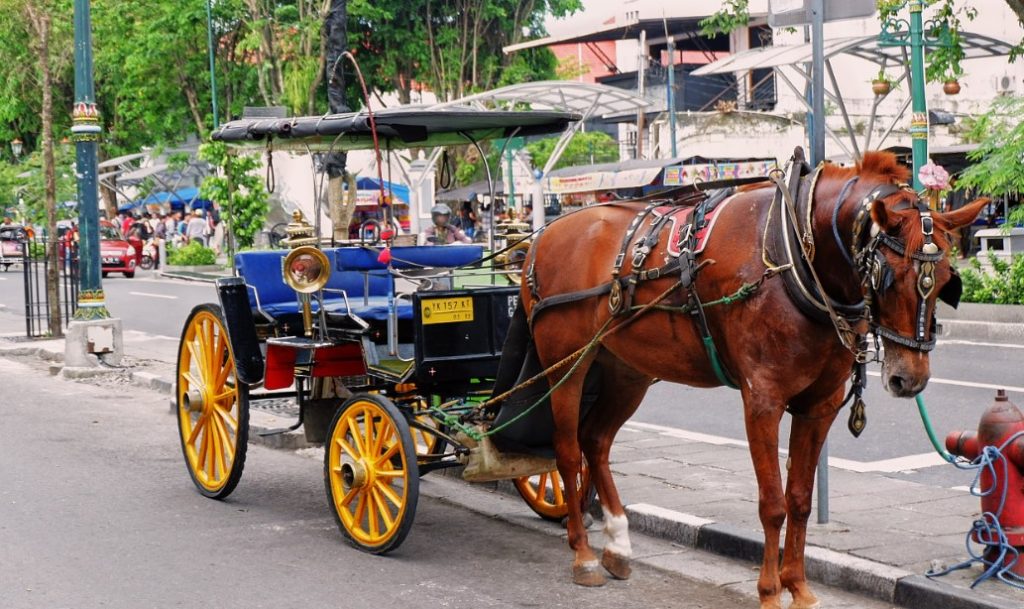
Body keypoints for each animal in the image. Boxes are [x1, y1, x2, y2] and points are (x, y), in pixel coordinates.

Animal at [524, 153, 987, 609]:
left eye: (945, 281)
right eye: (886, 278)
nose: (910, 379)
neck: (797, 253)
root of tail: (542, 237)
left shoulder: (819, 405)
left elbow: (799, 499)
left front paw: (798, 587)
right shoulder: (763, 401)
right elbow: (773, 504)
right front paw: (768, 591)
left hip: (627, 369)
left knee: (596, 441)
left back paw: (618, 543)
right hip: (565, 364)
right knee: (567, 451)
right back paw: (583, 553)